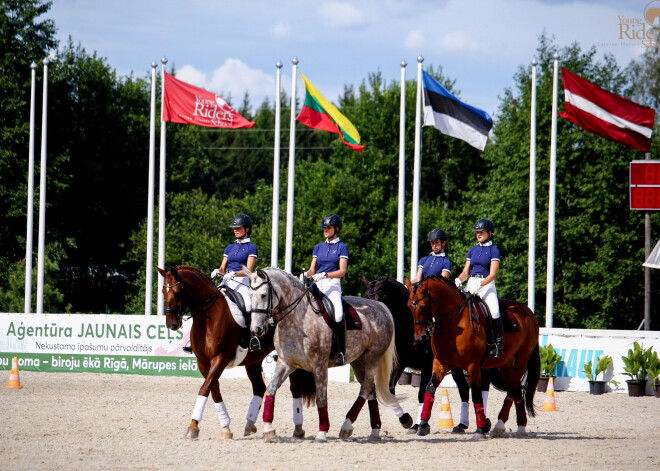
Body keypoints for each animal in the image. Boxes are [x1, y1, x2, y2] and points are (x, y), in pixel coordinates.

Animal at [156, 268, 314, 440]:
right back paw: (250, 424)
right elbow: (213, 390)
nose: (171, 324)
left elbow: (205, 388)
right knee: (259, 387)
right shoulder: (203, 363)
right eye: (163, 291)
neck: (209, 317)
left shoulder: (220, 358)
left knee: (295, 389)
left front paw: (193, 427)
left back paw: (298, 429)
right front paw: (225, 428)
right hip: (254, 360)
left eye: (178, 292)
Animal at [244, 268, 394, 444]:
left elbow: (321, 398)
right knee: (370, 389)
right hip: (358, 361)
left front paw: (322, 432)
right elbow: (271, 389)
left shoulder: (319, 366)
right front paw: (268, 429)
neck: (297, 319)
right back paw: (373, 430)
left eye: (263, 295)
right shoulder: (285, 363)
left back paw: (347, 425)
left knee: (365, 389)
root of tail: (381, 307)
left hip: (373, 358)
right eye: (249, 295)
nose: (256, 330)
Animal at [360, 276, 496, 436]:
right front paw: (406, 420)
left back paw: (483, 424)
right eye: (364, 299)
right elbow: (390, 388)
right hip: (455, 366)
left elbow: (421, 393)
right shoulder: (399, 364)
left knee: (479, 387)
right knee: (463, 388)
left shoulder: (427, 366)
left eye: (377, 300)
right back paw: (462, 425)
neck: (409, 329)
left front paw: (418, 424)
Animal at [404, 276, 540, 438]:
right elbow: (430, 388)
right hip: (504, 363)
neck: (453, 323)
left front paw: (480, 429)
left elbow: (475, 393)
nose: (420, 337)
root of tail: (528, 312)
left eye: (424, 306)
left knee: (512, 388)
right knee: (516, 387)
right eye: (409, 307)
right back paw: (519, 426)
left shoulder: (473, 365)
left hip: (522, 359)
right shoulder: (441, 363)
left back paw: (499, 425)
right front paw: (423, 425)